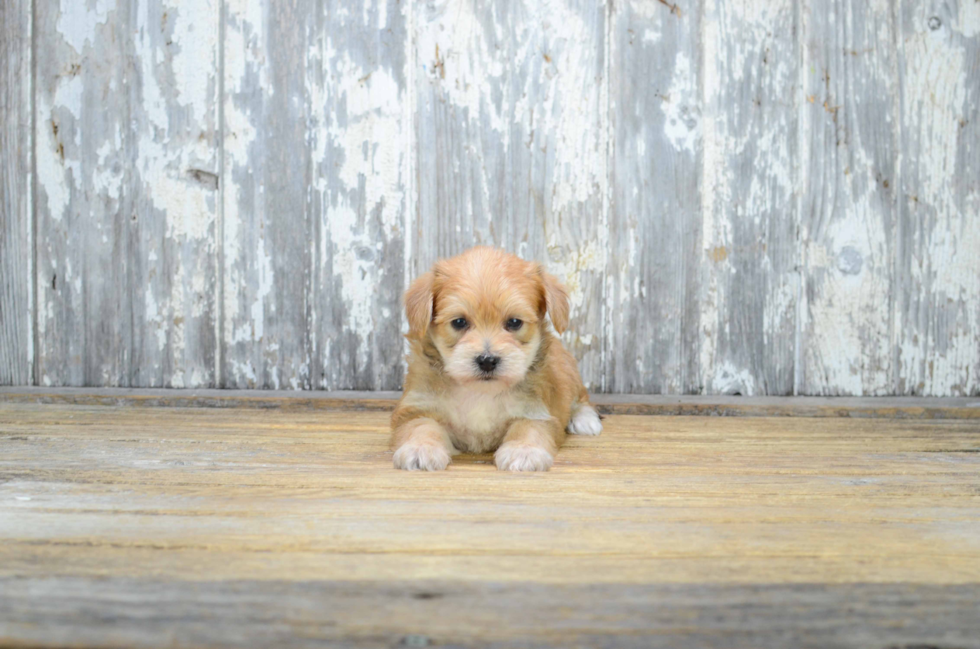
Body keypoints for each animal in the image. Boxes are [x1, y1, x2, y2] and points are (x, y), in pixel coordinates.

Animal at [388, 247, 596, 470]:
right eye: (459, 322)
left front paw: (523, 450)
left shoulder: (535, 411)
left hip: (570, 372)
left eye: (514, 322)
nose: (487, 360)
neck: (480, 392)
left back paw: (584, 419)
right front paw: (420, 448)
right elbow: (421, 426)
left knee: (581, 397)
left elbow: (528, 428)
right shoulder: (417, 407)